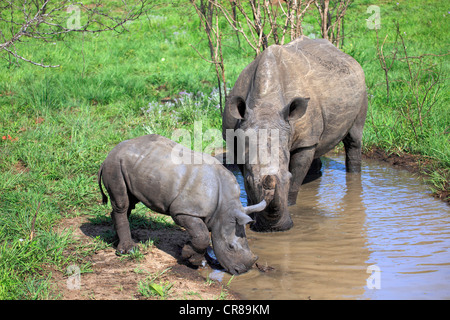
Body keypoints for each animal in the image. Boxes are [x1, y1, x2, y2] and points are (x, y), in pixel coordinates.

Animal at [97, 134, 266, 274]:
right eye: (231, 247)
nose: (241, 271)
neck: (224, 209)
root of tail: (111, 152)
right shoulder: (183, 211)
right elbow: (202, 236)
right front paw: (192, 259)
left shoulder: (207, 214)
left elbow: (202, 235)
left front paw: (203, 259)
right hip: (115, 164)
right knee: (122, 203)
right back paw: (128, 250)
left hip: (131, 164)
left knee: (129, 202)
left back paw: (117, 241)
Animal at [223, 36, 368, 231]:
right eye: (247, 181)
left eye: (288, 178)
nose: (274, 229)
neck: (265, 108)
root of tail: (344, 55)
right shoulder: (236, 141)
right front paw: (251, 212)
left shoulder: (304, 142)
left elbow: (297, 176)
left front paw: (291, 206)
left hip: (361, 86)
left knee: (354, 138)